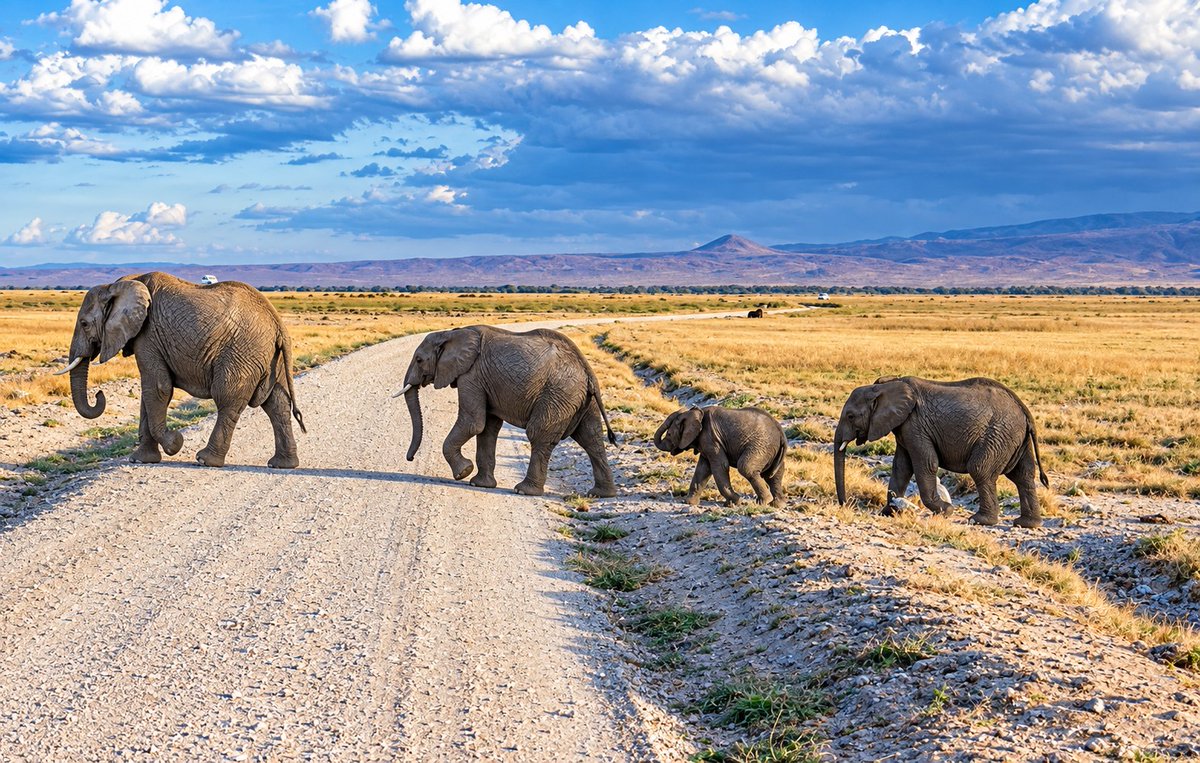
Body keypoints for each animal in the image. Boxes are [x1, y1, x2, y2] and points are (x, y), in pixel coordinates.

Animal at [56, 272, 305, 468]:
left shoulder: (148, 336)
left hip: (242, 353)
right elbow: (148, 394)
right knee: (277, 404)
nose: (99, 394)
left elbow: (158, 388)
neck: (119, 285)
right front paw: (141, 459)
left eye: (84, 324)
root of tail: (278, 324)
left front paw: (175, 443)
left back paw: (205, 460)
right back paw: (282, 464)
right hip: (270, 358)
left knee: (227, 400)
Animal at [398, 325, 618, 497]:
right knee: (591, 438)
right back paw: (601, 494)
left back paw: (524, 490)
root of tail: (587, 371)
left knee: (539, 434)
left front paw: (463, 473)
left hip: (558, 394)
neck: (451, 333)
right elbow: (487, 428)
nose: (410, 458)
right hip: (581, 399)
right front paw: (479, 484)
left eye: (419, 360)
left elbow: (473, 422)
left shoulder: (472, 375)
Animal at [654, 406, 787, 508]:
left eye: (669, 434)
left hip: (761, 445)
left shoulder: (710, 438)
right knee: (773, 474)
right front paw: (689, 503)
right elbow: (703, 469)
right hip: (771, 450)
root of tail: (781, 433)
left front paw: (736, 502)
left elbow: (720, 465)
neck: (697, 412)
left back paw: (764, 502)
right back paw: (777, 505)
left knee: (746, 468)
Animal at [833, 376, 1049, 528]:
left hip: (998, 434)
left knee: (980, 469)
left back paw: (980, 520)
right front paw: (888, 512)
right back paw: (1027, 524)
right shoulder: (904, 427)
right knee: (1023, 476)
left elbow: (926, 463)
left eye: (850, 416)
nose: (845, 504)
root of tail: (1024, 409)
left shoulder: (915, 425)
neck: (885, 386)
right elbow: (901, 467)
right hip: (1014, 438)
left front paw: (946, 511)